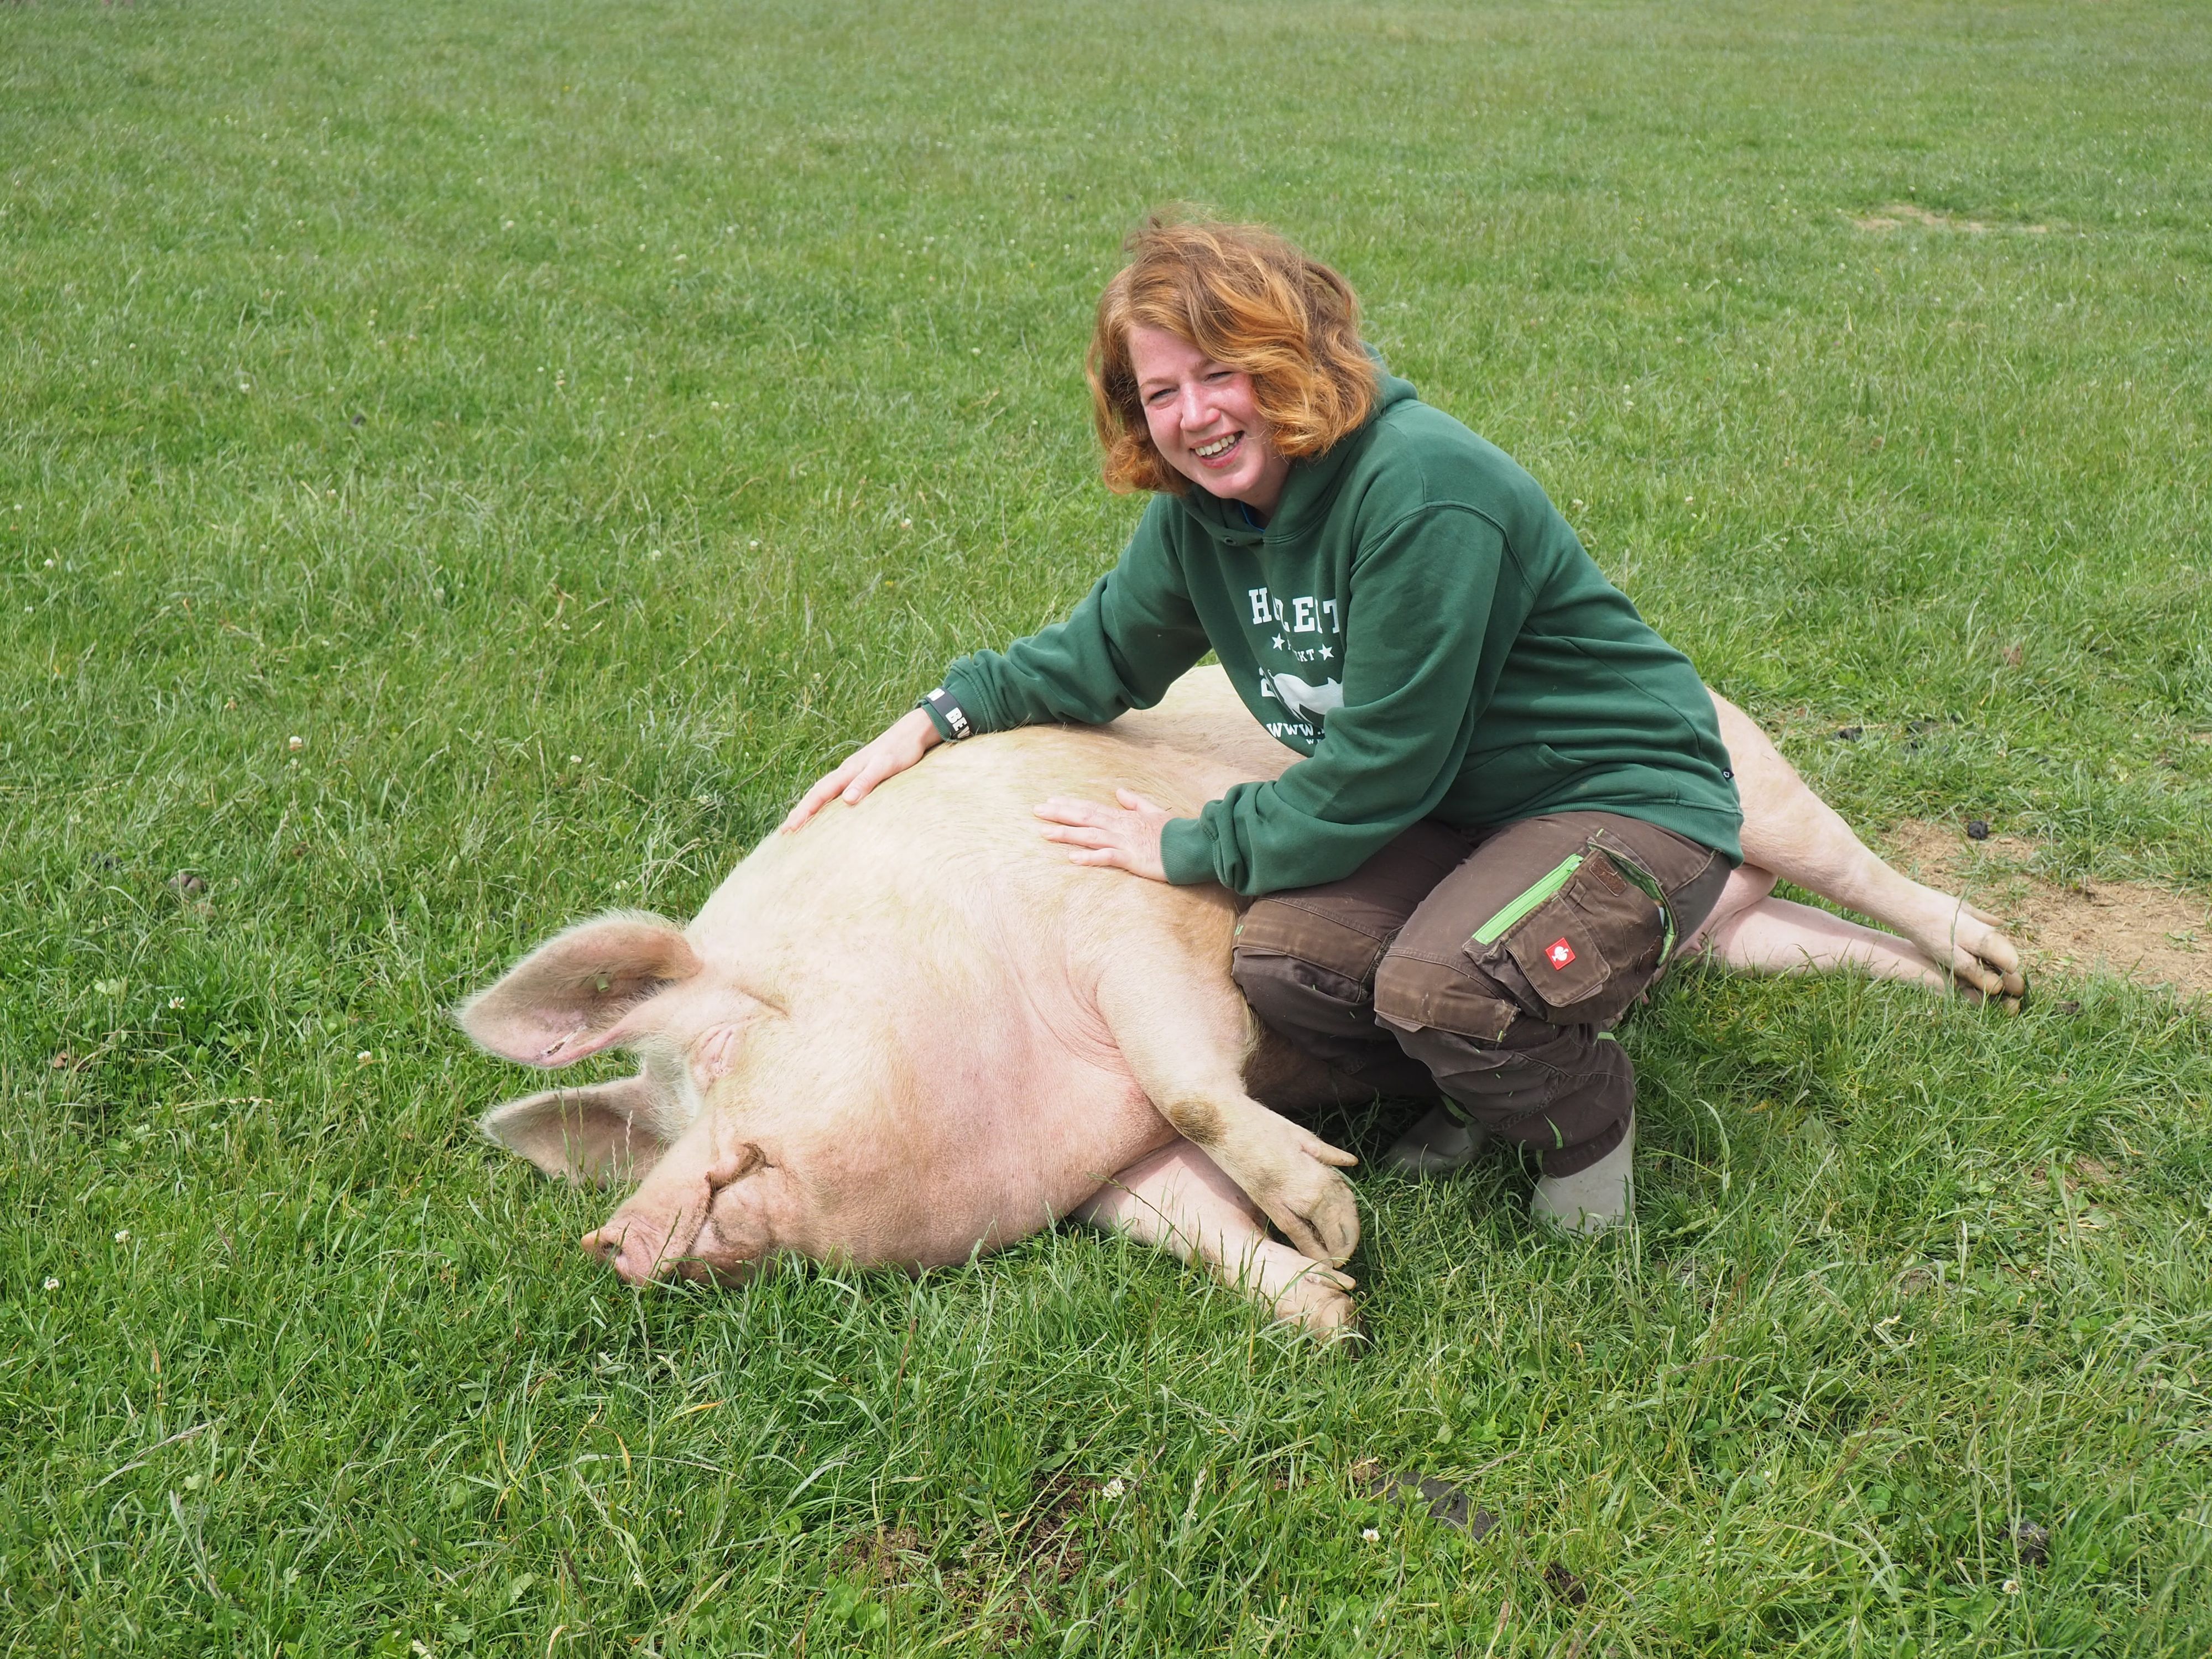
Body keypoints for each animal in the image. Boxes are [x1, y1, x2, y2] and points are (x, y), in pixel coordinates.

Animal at [459, 667, 2022, 1337]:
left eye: (714, 1050)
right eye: (652, 1120)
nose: (614, 1235)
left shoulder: (1137, 942)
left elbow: (1190, 1076)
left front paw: (1330, 1210)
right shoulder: (1098, 1169)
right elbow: (1176, 1214)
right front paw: (1329, 1301)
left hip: (1749, 778)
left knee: (1852, 860)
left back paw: (2010, 973)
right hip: (1729, 937)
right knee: (1794, 932)